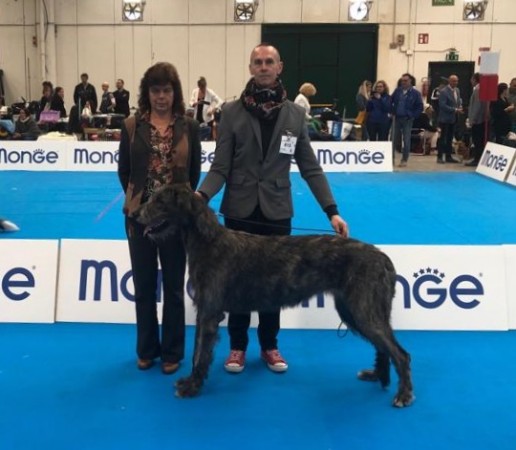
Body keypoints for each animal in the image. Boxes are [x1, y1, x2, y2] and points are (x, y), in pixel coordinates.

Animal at [135, 183, 414, 408]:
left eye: (159, 201)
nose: (134, 214)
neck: (207, 240)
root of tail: (383, 258)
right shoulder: (205, 309)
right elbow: (197, 350)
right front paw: (191, 382)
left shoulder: (209, 312)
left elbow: (201, 352)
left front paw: (192, 386)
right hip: (354, 309)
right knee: (383, 346)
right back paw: (377, 376)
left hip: (363, 309)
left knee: (400, 353)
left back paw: (404, 394)